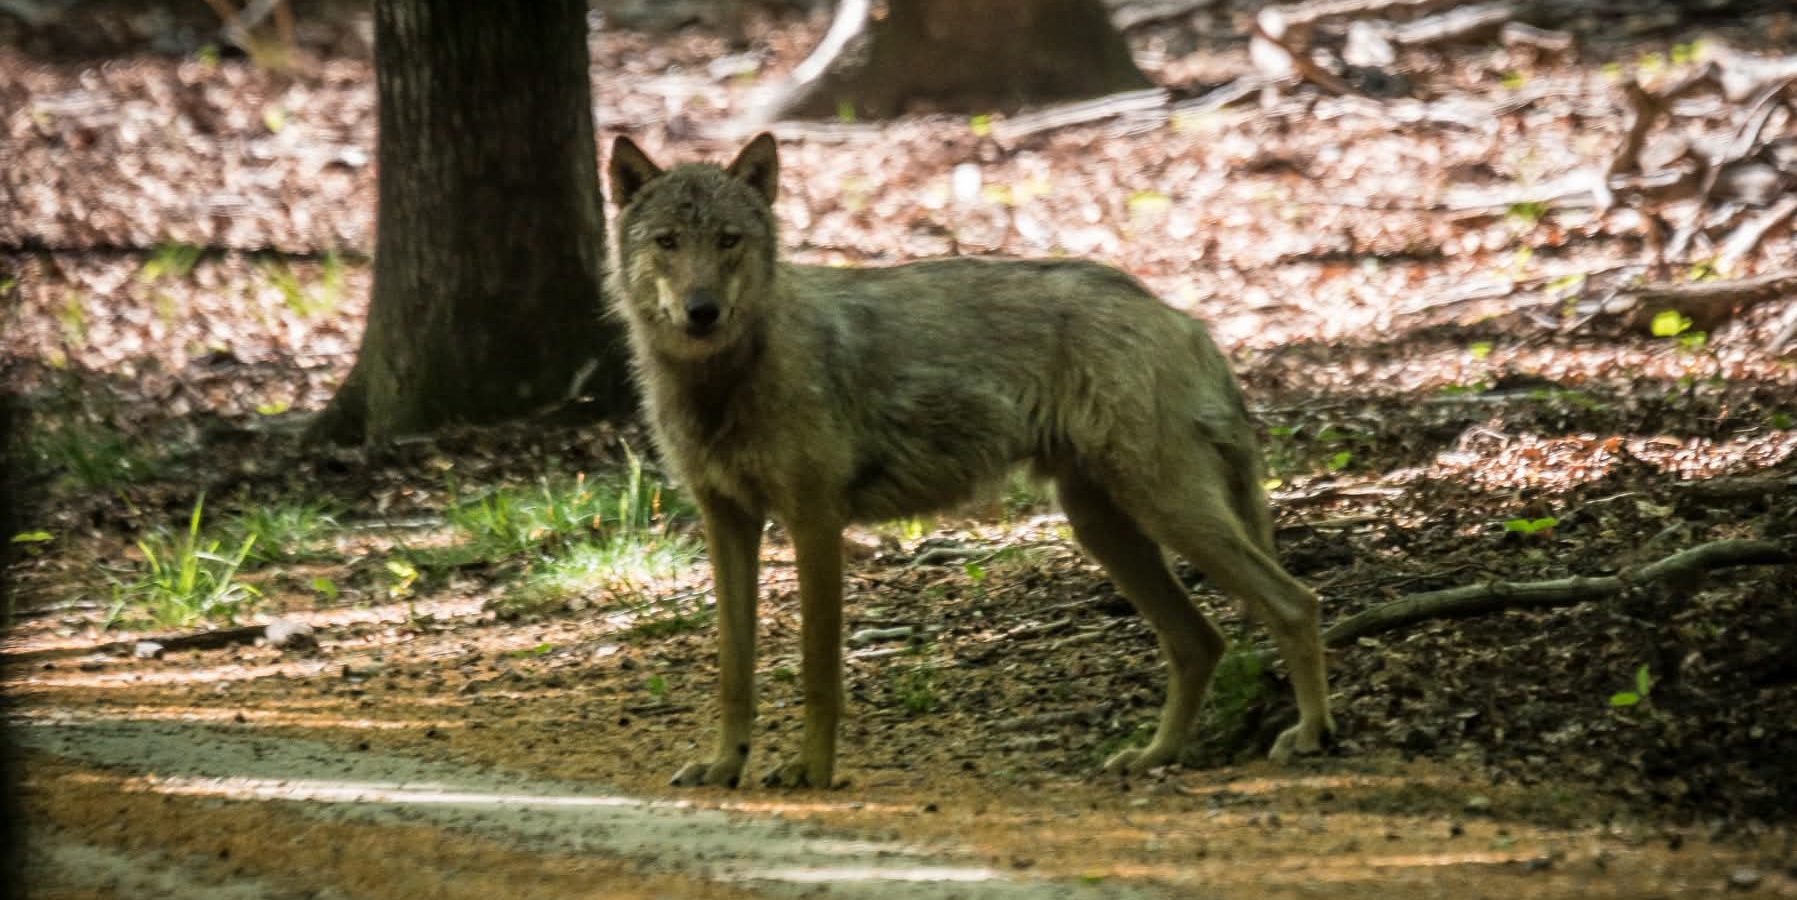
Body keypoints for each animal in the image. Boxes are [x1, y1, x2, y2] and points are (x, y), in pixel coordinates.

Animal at [607, 134, 1335, 789]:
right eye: (668, 242)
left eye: (728, 241)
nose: (702, 312)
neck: (722, 381)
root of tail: (1181, 316)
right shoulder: (728, 523)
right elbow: (733, 671)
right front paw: (724, 766)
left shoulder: (814, 523)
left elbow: (818, 673)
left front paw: (810, 772)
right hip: (1105, 526)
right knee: (1199, 641)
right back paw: (1155, 756)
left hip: (1165, 511)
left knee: (1295, 602)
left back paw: (1310, 736)